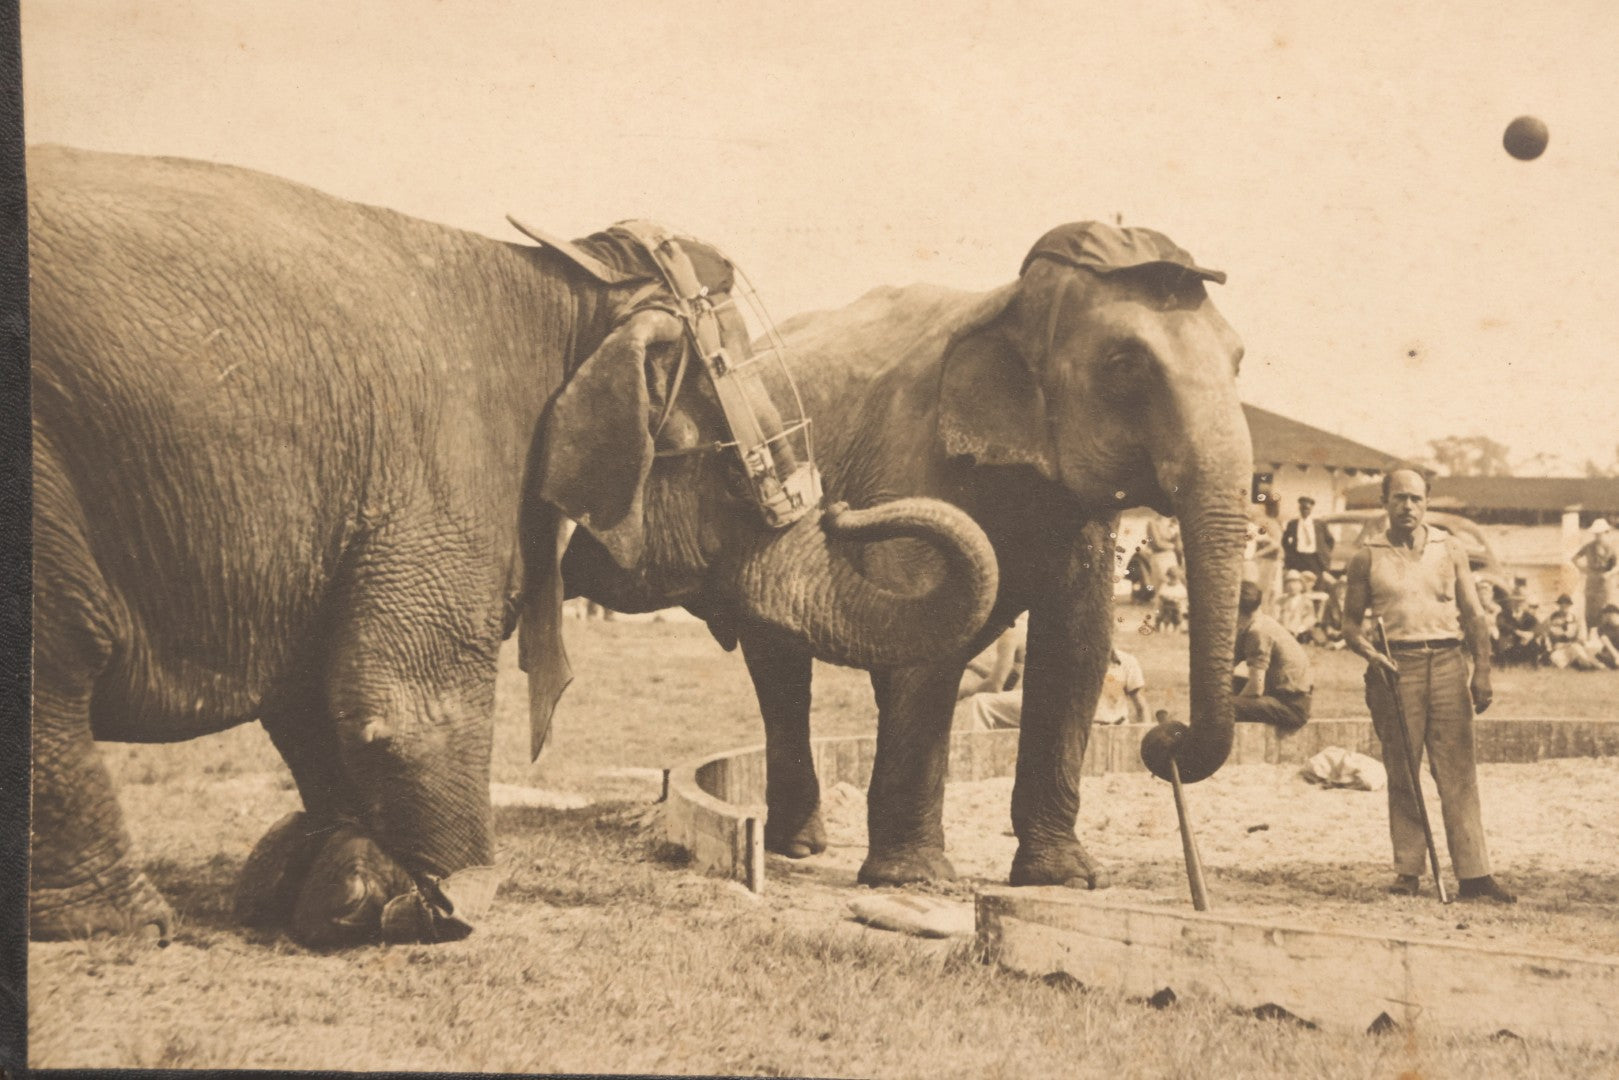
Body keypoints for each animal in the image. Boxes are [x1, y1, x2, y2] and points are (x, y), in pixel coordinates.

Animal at [27, 145, 999, 947]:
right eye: (755, 462)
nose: (840, 511)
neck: (566, 285)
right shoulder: (439, 466)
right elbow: (398, 702)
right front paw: (434, 901)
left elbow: (310, 697)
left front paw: (324, 881)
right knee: (55, 664)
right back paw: (122, 923)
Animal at [565, 221, 1252, 888]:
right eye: (1125, 364)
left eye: (1239, 359)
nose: (1165, 736)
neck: (1007, 302)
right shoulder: (911, 457)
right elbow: (934, 653)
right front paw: (913, 880)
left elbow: (1076, 647)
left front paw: (1066, 879)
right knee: (782, 667)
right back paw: (799, 847)